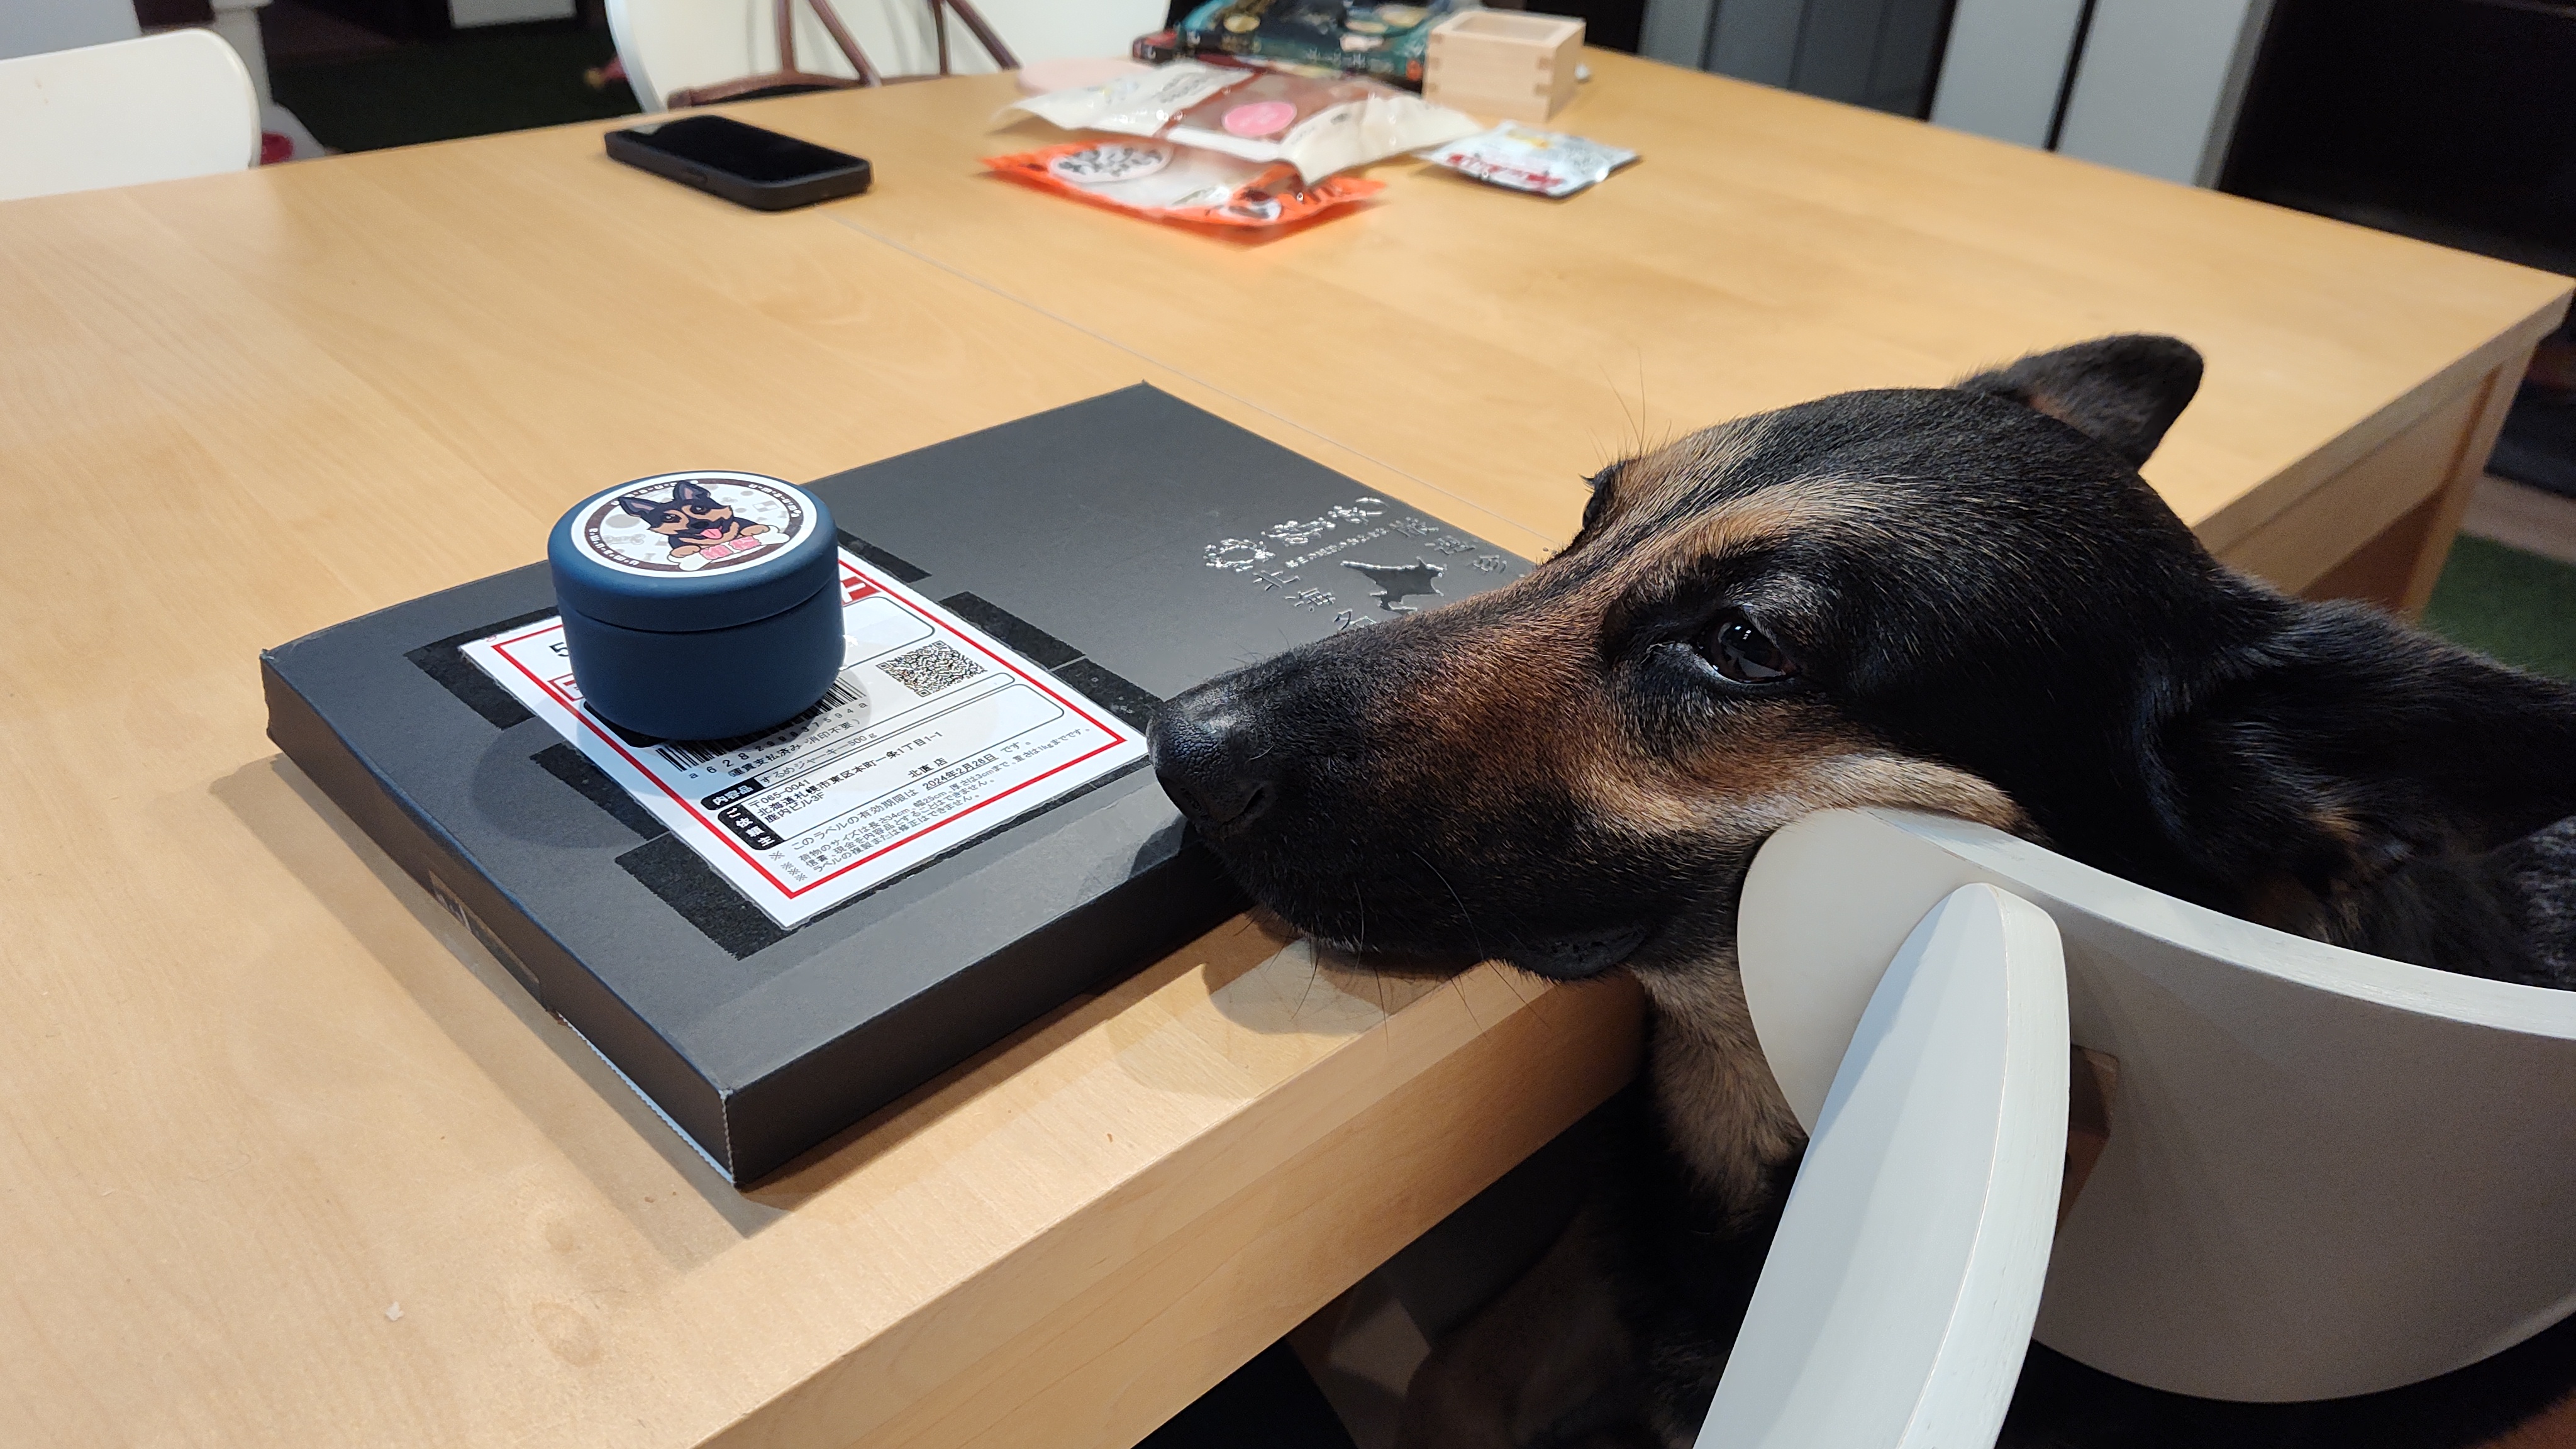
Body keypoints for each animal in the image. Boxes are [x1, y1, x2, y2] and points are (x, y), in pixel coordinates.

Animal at [618, 479, 772, 562]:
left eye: (699, 508)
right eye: (669, 518)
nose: (699, 524)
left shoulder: (737, 522)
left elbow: (743, 523)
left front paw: (754, 529)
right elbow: (679, 543)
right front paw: (685, 549)